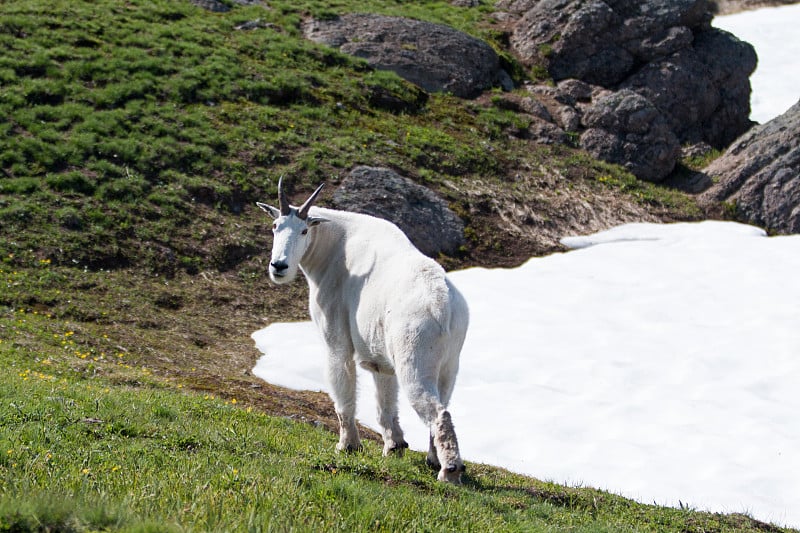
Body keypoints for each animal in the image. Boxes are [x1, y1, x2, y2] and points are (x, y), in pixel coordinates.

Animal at [258, 180, 468, 482]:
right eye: (275, 226)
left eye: (304, 230)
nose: (279, 266)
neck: (335, 247)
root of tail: (444, 306)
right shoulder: (381, 360)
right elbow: (385, 404)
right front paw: (394, 446)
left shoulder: (336, 340)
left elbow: (344, 394)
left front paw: (348, 446)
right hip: (449, 365)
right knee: (444, 402)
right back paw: (432, 459)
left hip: (416, 359)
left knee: (439, 413)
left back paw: (450, 471)